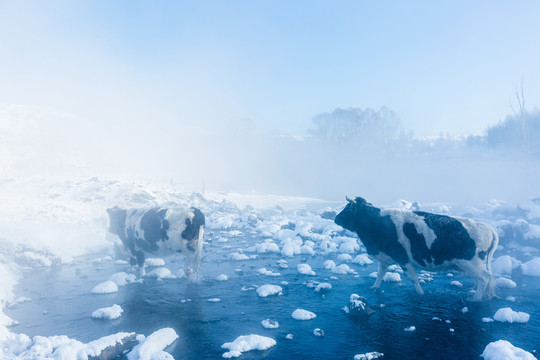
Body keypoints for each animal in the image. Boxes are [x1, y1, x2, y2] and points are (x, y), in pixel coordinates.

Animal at [336, 197, 500, 300]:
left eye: (347, 209)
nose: (336, 218)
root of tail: (489, 228)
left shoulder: (403, 258)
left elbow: (413, 278)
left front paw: (421, 294)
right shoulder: (385, 257)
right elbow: (380, 274)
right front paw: (373, 288)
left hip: (469, 262)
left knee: (485, 277)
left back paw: (475, 299)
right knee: (481, 279)